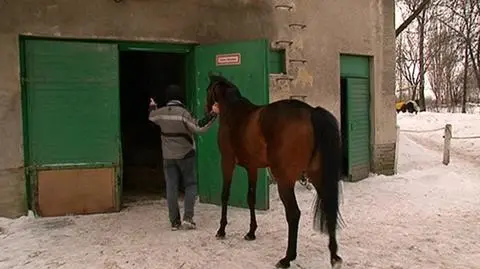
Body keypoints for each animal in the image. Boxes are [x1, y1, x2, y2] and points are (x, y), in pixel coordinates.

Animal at [204, 74, 344, 268]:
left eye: (207, 90)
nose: (206, 112)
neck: (234, 113)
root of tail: (311, 112)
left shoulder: (227, 162)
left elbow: (225, 195)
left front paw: (221, 230)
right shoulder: (252, 168)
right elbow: (251, 198)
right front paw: (251, 232)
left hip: (284, 181)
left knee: (294, 214)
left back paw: (287, 258)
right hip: (317, 176)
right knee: (329, 206)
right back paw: (334, 256)